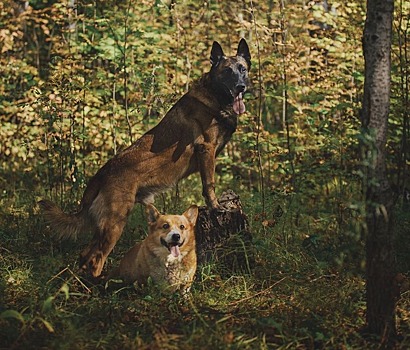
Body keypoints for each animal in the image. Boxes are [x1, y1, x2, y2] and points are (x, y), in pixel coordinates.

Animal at [39, 38, 250, 278]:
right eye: (227, 71)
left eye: (242, 69)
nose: (240, 87)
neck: (215, 97)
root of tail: (101, 174)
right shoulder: (206, 150)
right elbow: (209, 185)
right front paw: (216, 206)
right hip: (115, 223)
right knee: (96, 258)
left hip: (105, 226)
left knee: (86, 255)